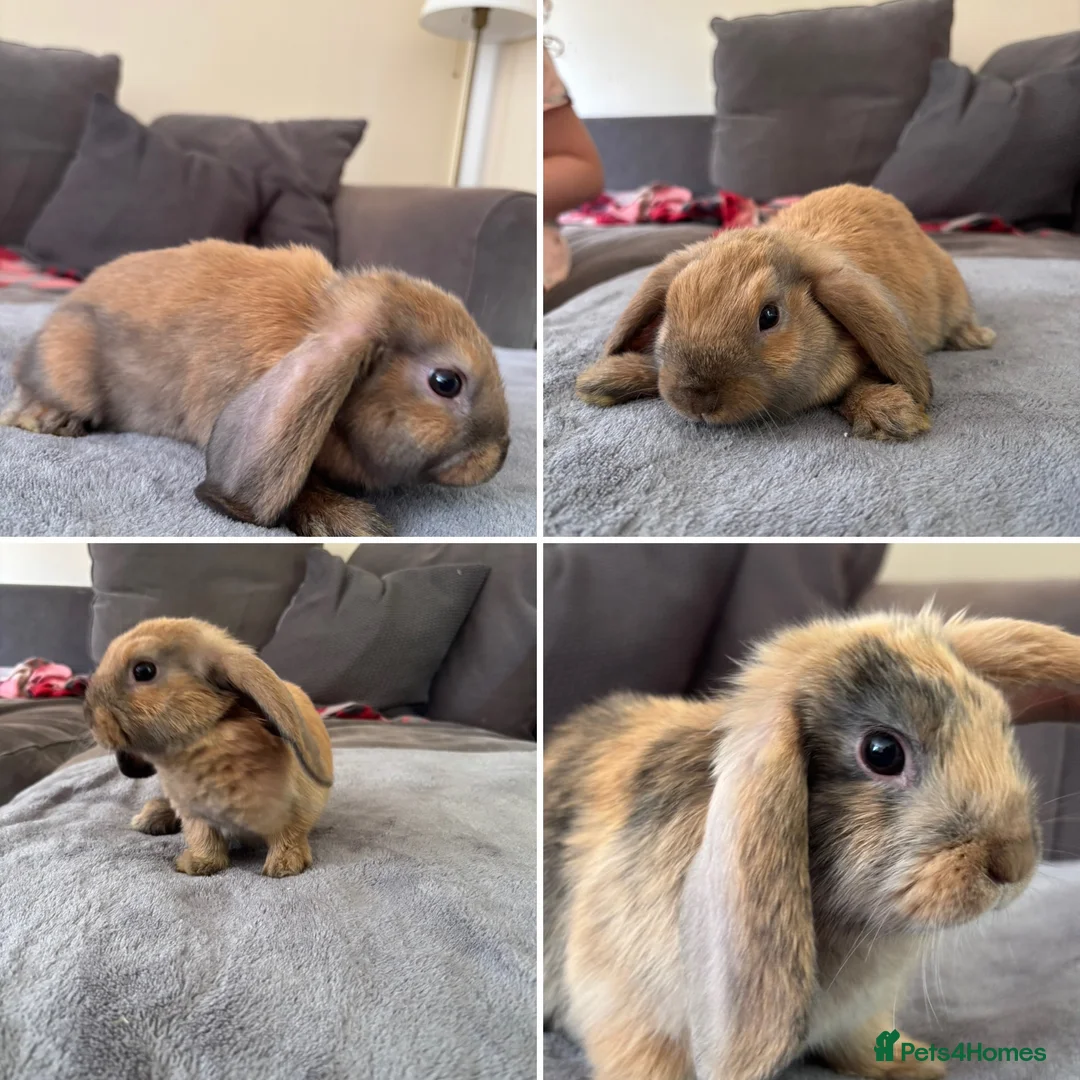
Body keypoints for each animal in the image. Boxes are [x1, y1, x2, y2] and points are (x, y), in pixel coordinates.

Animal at [0, 239, 510, 536]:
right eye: (445, 382)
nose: (500, 455)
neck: (310, 326)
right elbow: (295, 486)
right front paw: (352, 524)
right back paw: (48, 419)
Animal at [86, 616, 334, 878]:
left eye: (143, 671)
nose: (89, 717)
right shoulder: (194, 813)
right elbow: (203, 837)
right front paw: (197, 864)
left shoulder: (295, 809)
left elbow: (288, 836)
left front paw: (284, 866)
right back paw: (150, 817)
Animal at [543, 608, 1080, 1080]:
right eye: (881, 752)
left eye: (1000, 722)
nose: (1015, 863)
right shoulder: (628, 1011)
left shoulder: (860, 1016)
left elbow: (862, 1040)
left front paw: (912, 1064)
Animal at [575, 184, 995, 441]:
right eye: (670, 309)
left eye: (769, 316)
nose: (695, 400)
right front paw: (602, 380)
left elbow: (855, 385)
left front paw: (891, 416)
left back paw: (975, 337)